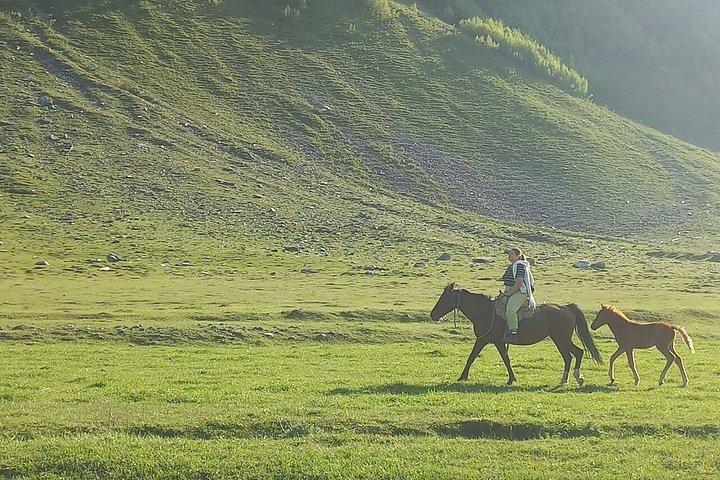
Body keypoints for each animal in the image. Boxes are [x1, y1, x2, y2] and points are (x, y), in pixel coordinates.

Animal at [430, 283, 602, 385]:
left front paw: (462, 376)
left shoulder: (487, 340)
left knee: (576, 353)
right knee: (570, 356)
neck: (486, 312)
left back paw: (577, 377)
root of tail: (566, 307)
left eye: (446, 297)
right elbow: (500, 358)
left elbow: (477, 357)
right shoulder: (491, 341)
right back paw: (564, 380)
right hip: (559, 340)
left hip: (561, 339)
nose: (433, 315)